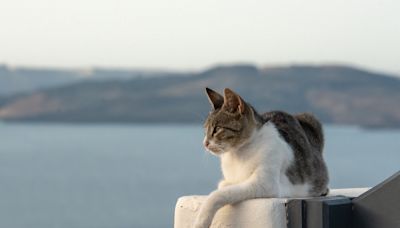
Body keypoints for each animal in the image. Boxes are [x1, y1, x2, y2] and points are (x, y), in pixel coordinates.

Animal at [193, 87, 328, 228]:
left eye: (217, 129)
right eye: (205, 130)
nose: (205, 143)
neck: (237, 153)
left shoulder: (265, 183)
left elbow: (218, 195)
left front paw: (201, 221)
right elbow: (225, 185)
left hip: (312, 119)